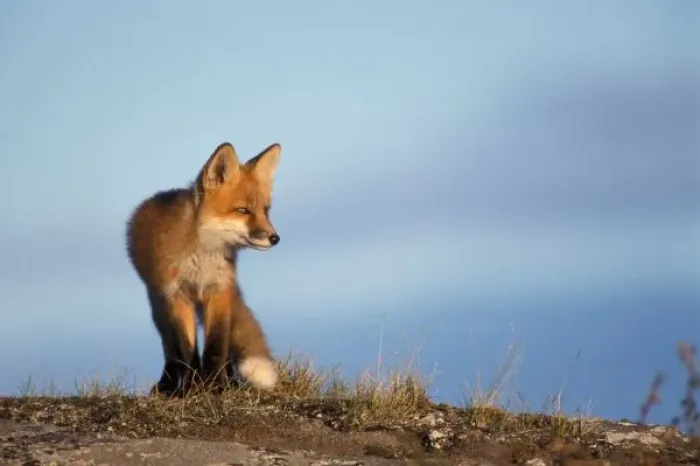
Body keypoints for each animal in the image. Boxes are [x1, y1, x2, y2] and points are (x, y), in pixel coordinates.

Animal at [125, 141, 282, 395]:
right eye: (243, 211)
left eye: (265, 211)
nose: (275, 238)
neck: (202, 259)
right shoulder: (177, 295)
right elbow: (188, 349)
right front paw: (193, 388)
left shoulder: (219, 290)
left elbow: (216, 346)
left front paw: (216, 385)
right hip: (159, 305)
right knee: (171, 349)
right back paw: (170, 384)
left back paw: (228, 382)